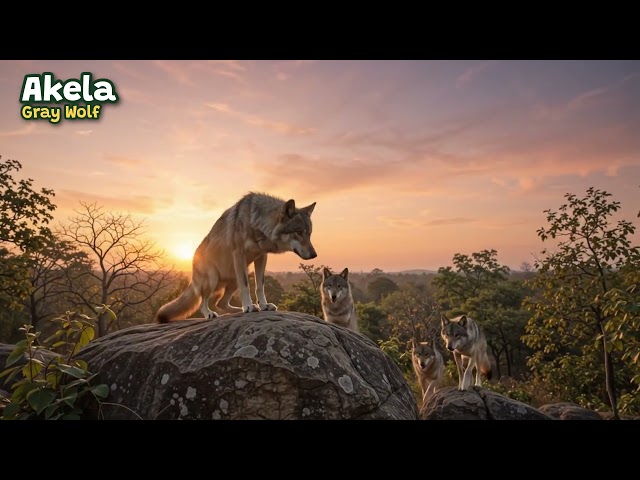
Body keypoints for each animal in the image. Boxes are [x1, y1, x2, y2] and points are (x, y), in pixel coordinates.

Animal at [155, 192, 317, 323]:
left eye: (309, 234)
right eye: (299, 232)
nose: (314, 255)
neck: (256, 222)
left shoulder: (261, 257)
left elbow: (259, 285)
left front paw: (263, 305)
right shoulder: (239, 254)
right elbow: (246, 286)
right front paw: (249, 306)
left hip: (236, 277)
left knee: (220, 303)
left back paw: (241, 309)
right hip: (213, 278)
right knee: (203, 303)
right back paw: (211, 313)